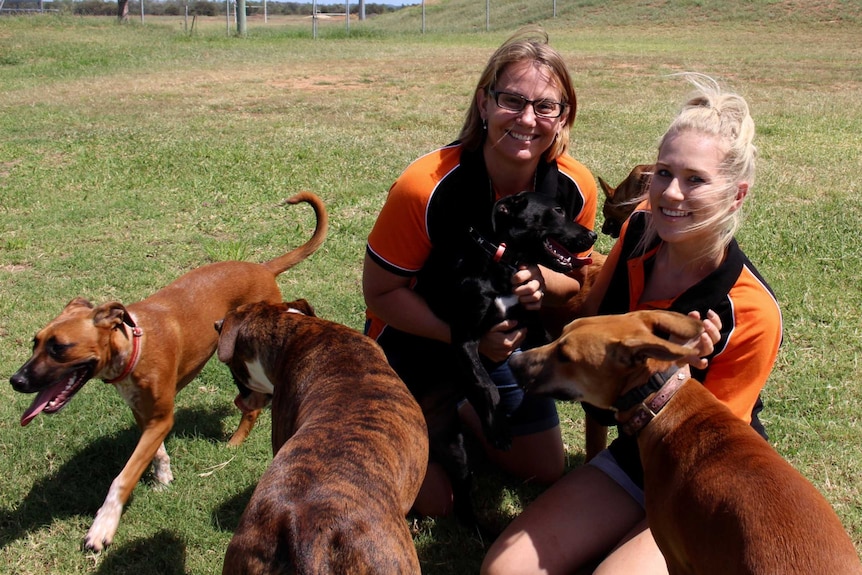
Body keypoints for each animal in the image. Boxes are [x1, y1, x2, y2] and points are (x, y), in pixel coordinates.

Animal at [8, 191, 330, 552]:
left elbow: (124, 476)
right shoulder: (144, 413)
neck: (133, 346)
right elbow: (155, 452)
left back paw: (235, 442)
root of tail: (262, 268)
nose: (16, 380)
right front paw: (162, 475)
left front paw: (103, 524)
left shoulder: (162, 417)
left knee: (254, 406)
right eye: (35, 342)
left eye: (59, 347)